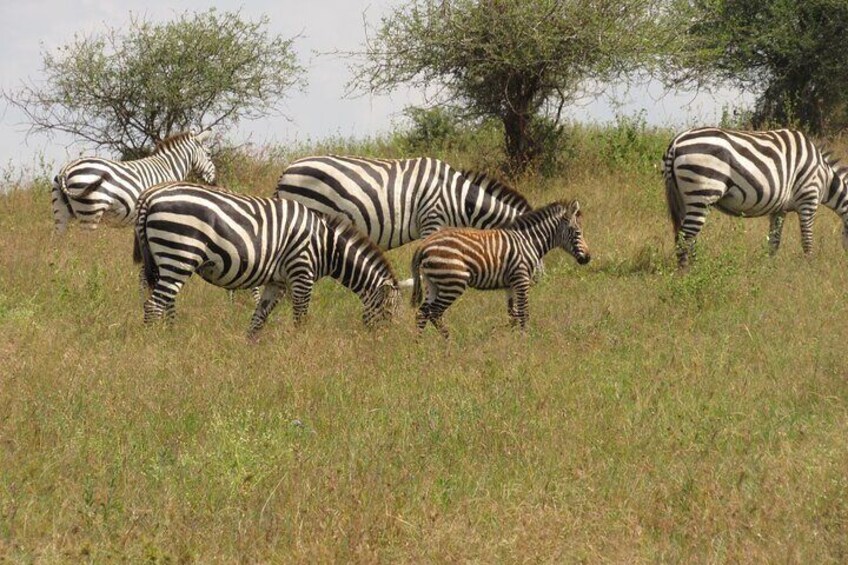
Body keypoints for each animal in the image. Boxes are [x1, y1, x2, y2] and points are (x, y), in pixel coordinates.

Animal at [51, 131, 217, 232]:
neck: (168, 167)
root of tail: (67, 169)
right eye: (209, 154)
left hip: (61, 214)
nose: (214, 181)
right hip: (90, 213)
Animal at [133, 181, 400, 334]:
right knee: (153, 306)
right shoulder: (302, 273)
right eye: (390, 312)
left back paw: (172, 337)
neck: (327, 245)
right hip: (179, 254)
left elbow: (258, 319)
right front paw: (301, 350)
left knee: (165, 301)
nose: (389, 347)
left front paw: (249, 353)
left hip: (164, 260)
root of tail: (151, 197)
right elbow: (300, 318)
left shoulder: (277, 281)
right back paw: (155, 344)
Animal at [410, 199, 588, 338]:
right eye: (577, 233)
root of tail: (423, 246)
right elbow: (524, 312)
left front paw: (507, 337)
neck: (528, 241)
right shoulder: (521, 279)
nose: (588, 258)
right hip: (453, 282)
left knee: (422, 313)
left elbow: (513, 315)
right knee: (435, 312)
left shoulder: (510, 284)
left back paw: (419, 346)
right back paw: (448, 341)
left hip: (432, 283)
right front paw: (525, 340)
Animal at [664, 126, 848, 268]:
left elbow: (774, 241)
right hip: (702, 193)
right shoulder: (809, 198)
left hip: (684, 198)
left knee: (686, 236)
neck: (825, 177)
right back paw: (687, 273)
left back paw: (695, 267)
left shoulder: (780, 209)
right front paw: (810, 267)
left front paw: (769, 268)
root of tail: (676, 142)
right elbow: (807, 239)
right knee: (686, 236)